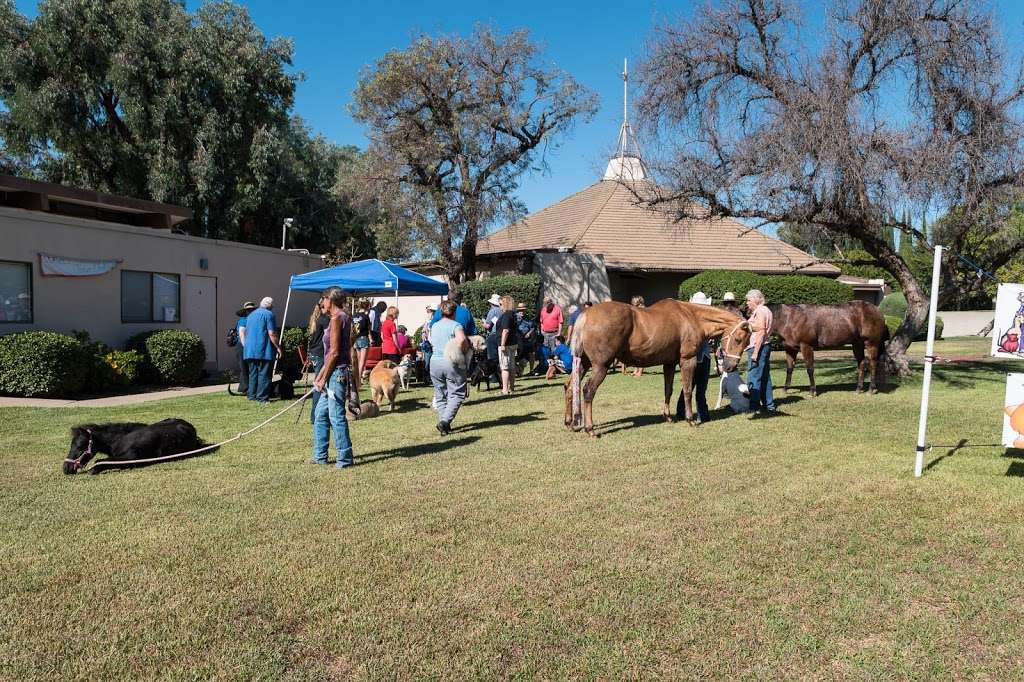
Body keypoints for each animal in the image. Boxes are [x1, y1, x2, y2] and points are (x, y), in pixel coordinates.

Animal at [62, 413, 210, 473]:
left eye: (80, 447)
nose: (66, 468)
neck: (121, 439)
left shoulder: (131, 458)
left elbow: (100, 462)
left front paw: (94, 469)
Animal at [565, 299, 749, 436]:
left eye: (746, 343)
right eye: (738, 339)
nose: (730, 367)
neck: (691, 317)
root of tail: (585, 314)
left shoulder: (669, 363)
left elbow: (668, 390)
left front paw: (667, 417)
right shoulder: (687, 361)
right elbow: (688, 390)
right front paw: (690, 419)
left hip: (584, 363)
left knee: (570, 387)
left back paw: (570, 423)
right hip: (600, 366)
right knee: (588, 390)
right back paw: (590, 428)